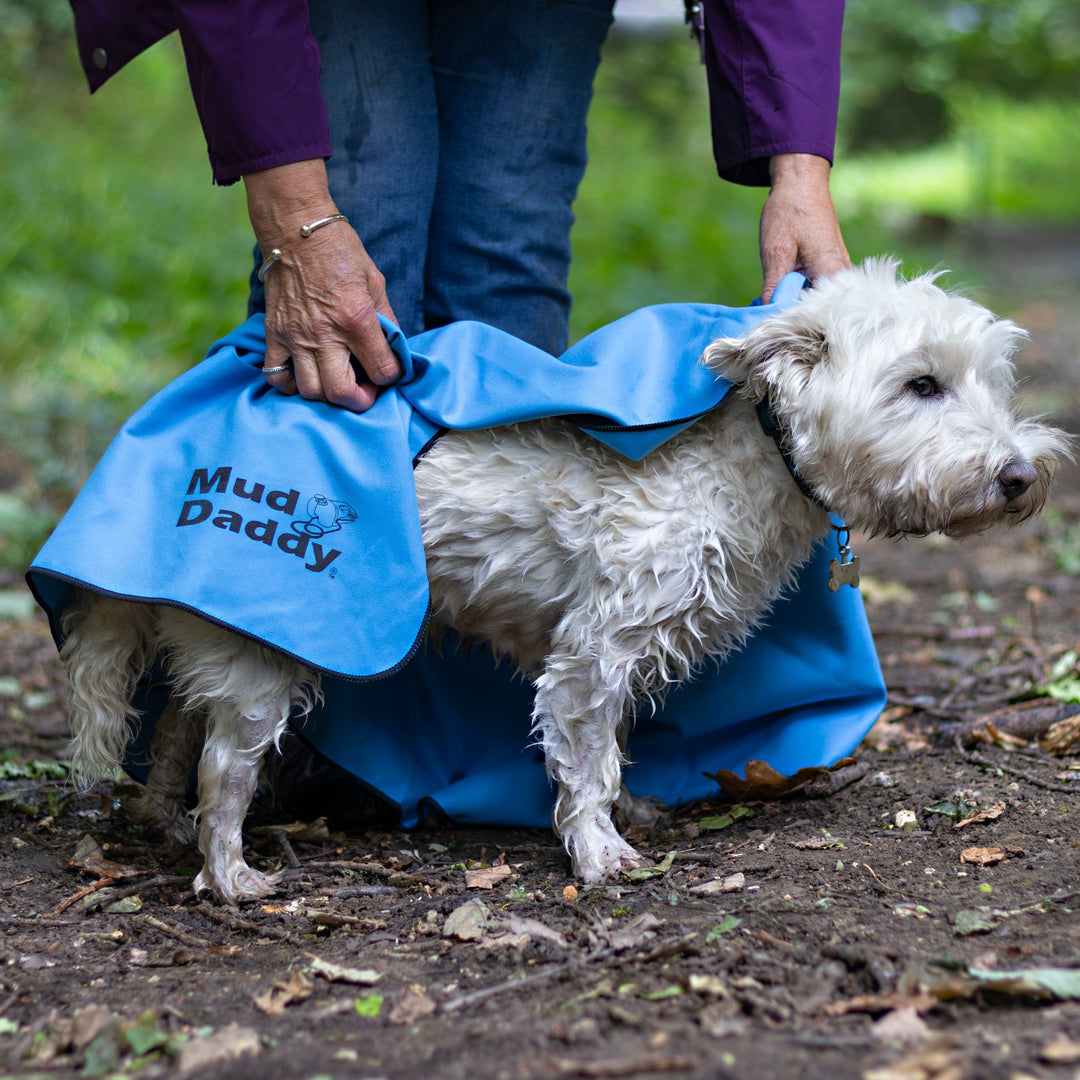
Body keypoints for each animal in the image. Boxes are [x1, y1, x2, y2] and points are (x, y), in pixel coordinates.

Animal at [56, 261, 1062, 902]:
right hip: (262, 653)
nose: (1021, 476)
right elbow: (587, 758)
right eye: (922, 385)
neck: (751, 457)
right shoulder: (593, 653)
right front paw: (599, 851)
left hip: (210, 645)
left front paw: (630, 815)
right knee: (224, 769)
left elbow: (616, 747)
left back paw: (168, 828)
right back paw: (229, 876)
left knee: (176, 738)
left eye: (991, 381)